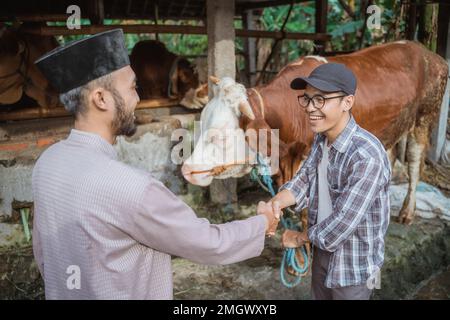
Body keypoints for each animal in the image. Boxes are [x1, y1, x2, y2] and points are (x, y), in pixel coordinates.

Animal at [181, 40, 448, 225]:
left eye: (220, 136)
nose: (187, 169)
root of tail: (430, 54)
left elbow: (309, 209)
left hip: (425, 118)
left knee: (414, 164)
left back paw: (406, 213)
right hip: (392, 126)